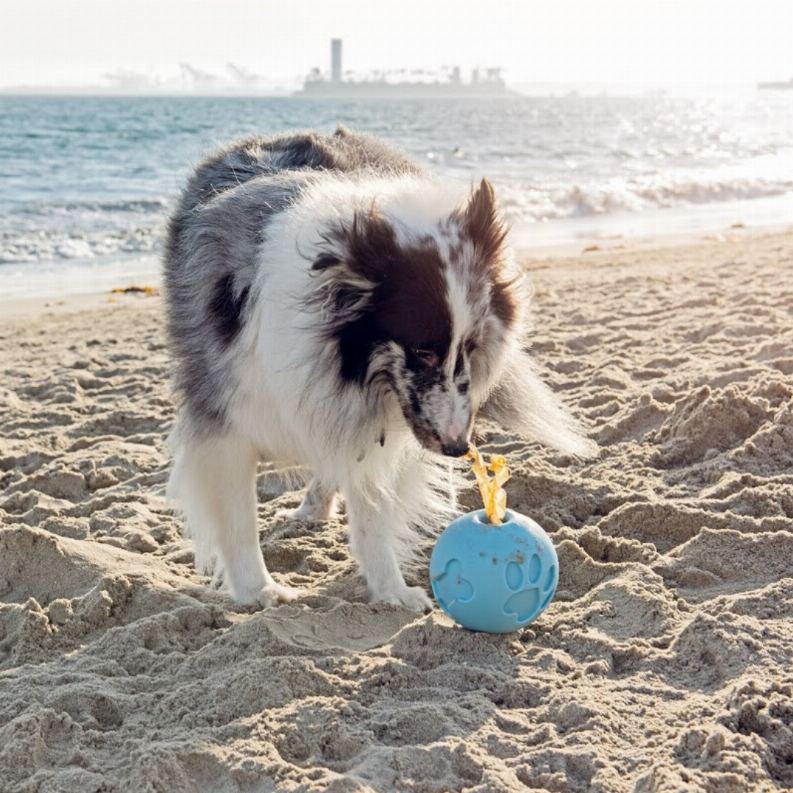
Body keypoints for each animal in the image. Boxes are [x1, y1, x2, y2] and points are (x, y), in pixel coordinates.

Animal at [164, 128, 592, 612]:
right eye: (423, 351)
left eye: (472, 345)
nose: (458, 448)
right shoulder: (224, 420)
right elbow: (238, 518)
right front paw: (260, 591)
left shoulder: (369, 426)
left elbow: (373, 511)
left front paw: (392, 591)